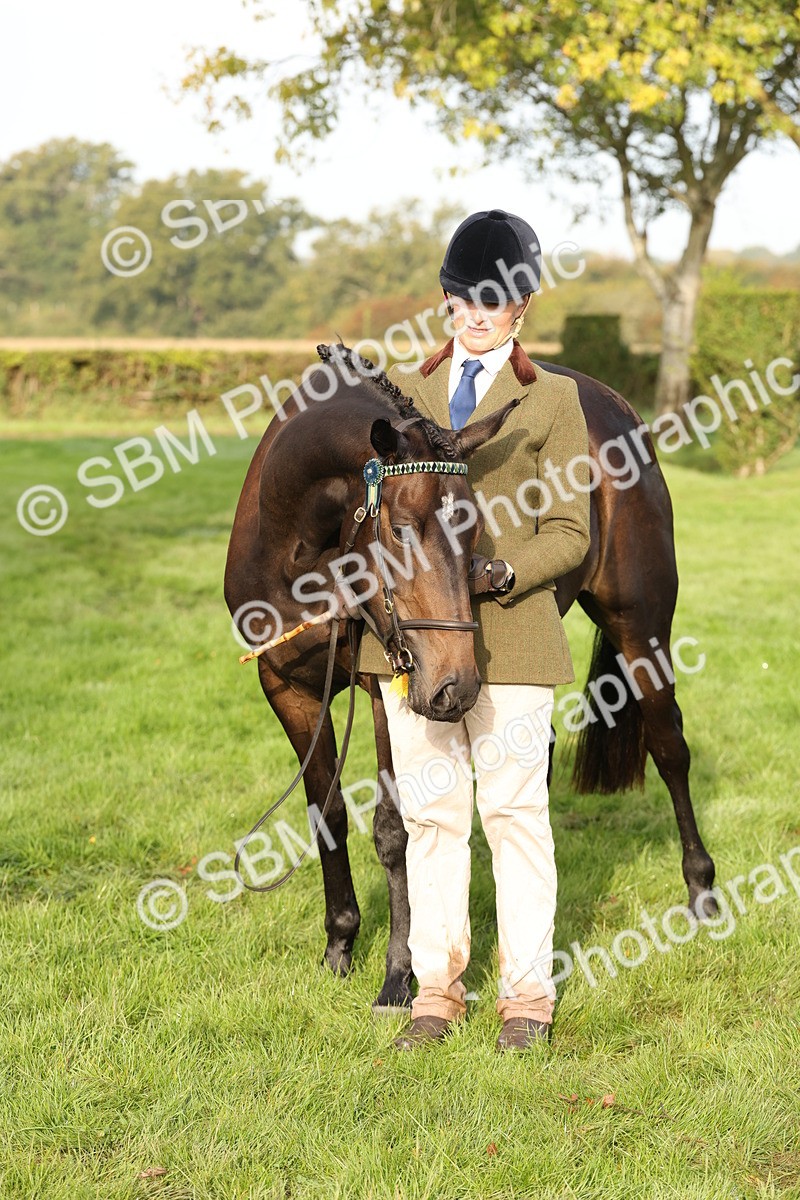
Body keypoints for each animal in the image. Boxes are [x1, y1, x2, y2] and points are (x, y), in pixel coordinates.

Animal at [224, 344, 716, 1012]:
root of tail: (615, 403)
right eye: (399, 530)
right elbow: (327, 815)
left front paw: (399, 977)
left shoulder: (385, 687)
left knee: (669, 746)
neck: (295, 544)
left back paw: (701, 893)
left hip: (640, 627)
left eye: (475, 529)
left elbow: (394, 830)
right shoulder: (287, 690)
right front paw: (339, 949)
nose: (455, 686)